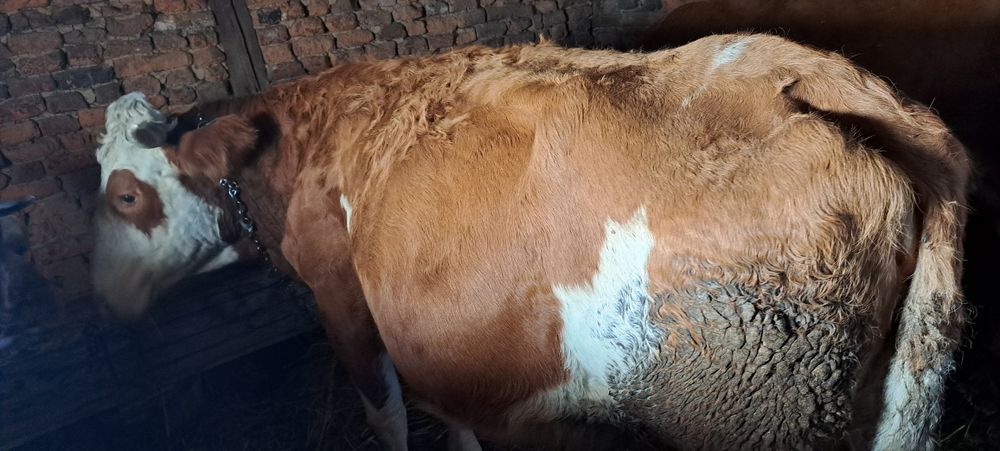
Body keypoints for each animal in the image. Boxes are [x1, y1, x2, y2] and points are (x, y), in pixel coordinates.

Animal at [91, 34, 970, 450]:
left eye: (124, 193)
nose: (105, 296)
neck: (305, 140)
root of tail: (803, 76)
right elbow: (454, 412)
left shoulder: (340, 299)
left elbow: (389, 414)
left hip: (747, 405)